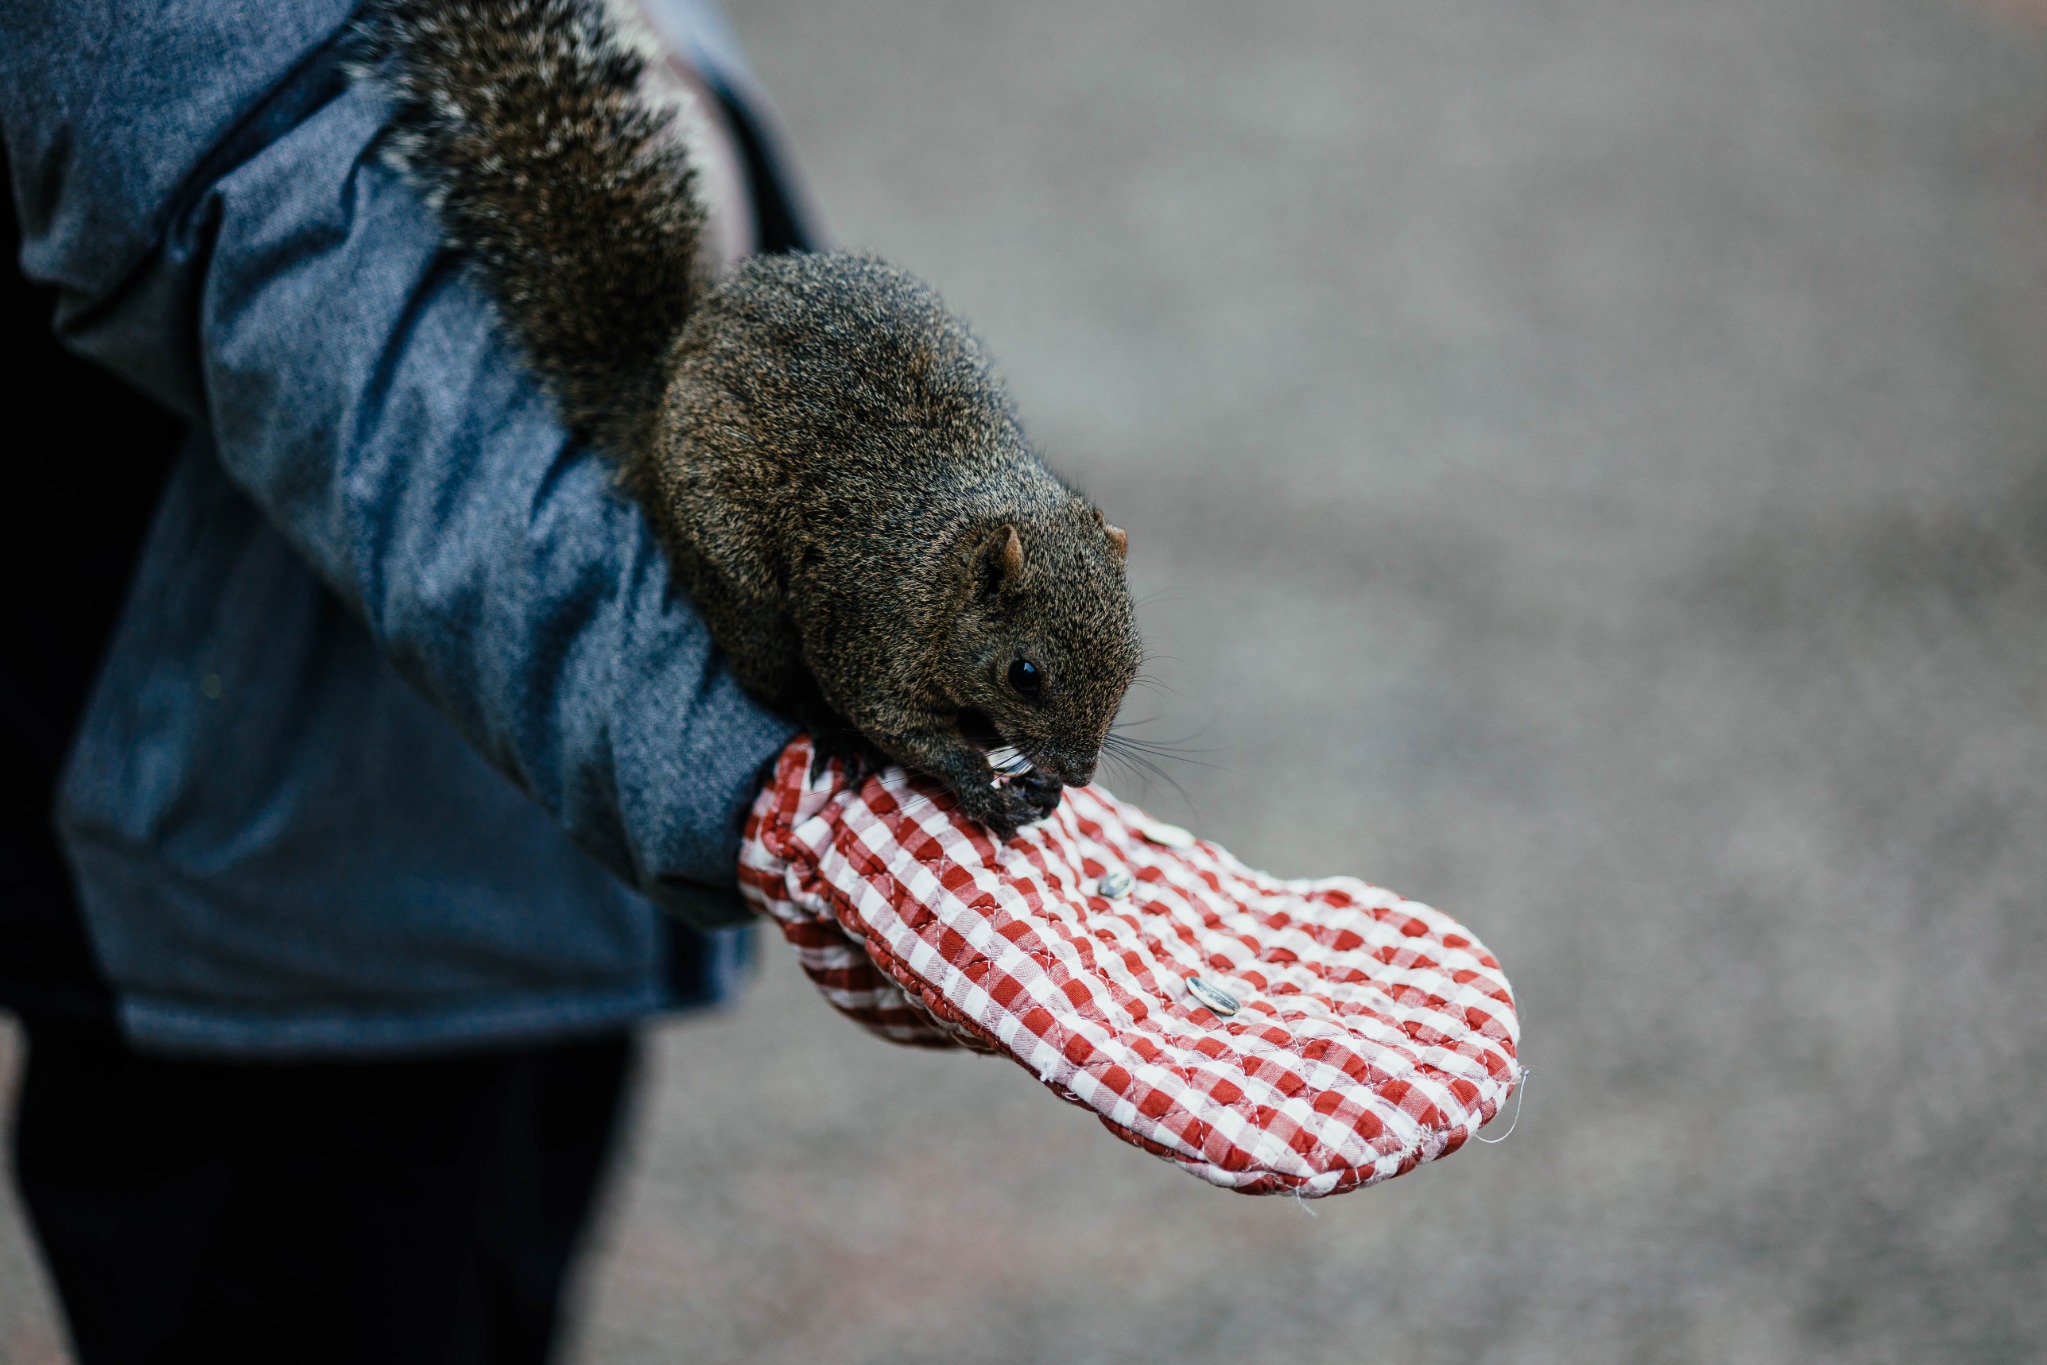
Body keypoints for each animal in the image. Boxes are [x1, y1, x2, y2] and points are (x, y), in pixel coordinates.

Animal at [352, 0, 1142, 837]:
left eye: (1133, 657)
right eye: (1024, 673)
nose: (1079, 771)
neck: (943, 563)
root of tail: (664, 381)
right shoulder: (869, 620)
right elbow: (892, 720)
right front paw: (977, 783)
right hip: (735, 572)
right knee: (771, 676)